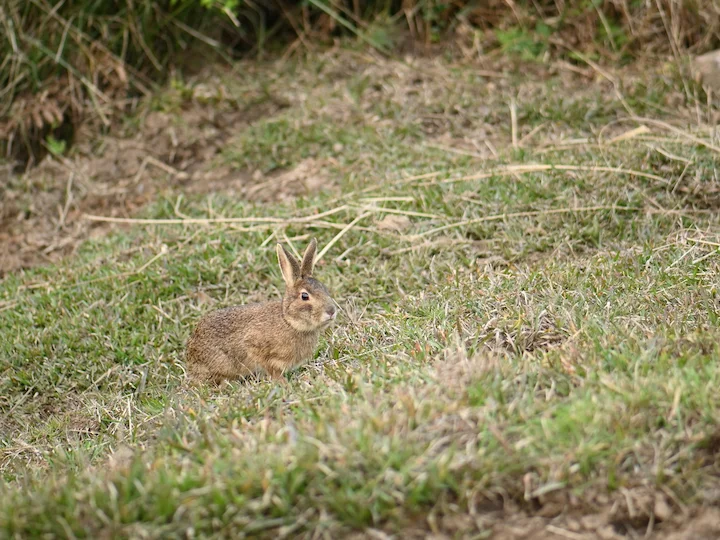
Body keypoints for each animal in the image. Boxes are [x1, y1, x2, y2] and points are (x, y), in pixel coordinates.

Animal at [186, 238, 337, 383]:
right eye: (305, 296)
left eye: (324, 289)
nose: (331, 311)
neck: (288, 321)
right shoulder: (255, 347)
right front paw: (283, 383)